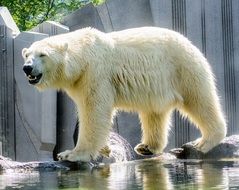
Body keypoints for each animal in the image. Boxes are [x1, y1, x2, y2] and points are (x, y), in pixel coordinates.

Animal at [22, 26, 226, 160]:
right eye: (27, 54)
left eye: (43, 55)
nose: (27, 68)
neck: (84, 55)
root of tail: (190, 43)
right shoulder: (79, 81)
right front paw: (104, 149)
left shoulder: (96, 72)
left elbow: (94, 110)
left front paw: (72, 154)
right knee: (154, 113)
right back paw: (147, 147)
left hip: (182, 68)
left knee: (199, 100)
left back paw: (204, 142)